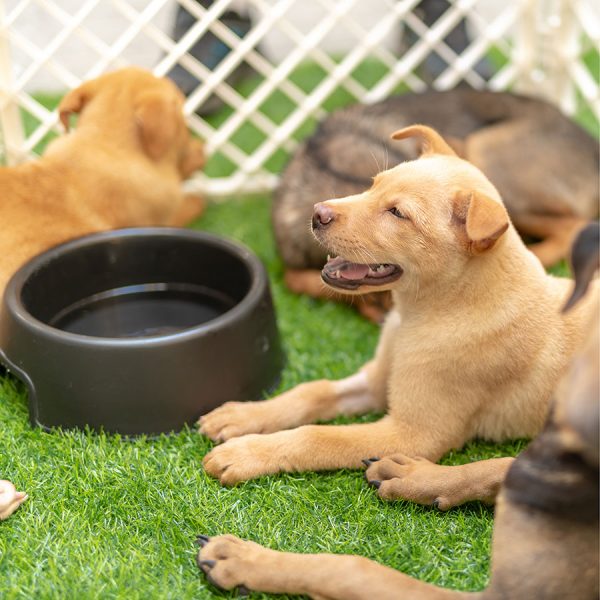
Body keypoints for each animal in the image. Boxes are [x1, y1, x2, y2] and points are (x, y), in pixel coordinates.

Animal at [0, 67, 206, 302]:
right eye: (183, 114)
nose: (203, 149)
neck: (104, 145)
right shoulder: (160, 220)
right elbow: (187, 208)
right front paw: (198, 200)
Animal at [200, 124, 596, 486]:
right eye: (373, 184)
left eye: (397, 213)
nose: (316, 212)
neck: (426, 311)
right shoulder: (378, 380)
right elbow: (313, 390)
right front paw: (242, 417)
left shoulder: (412, 434)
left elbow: (318, 435)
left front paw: (245, 454)